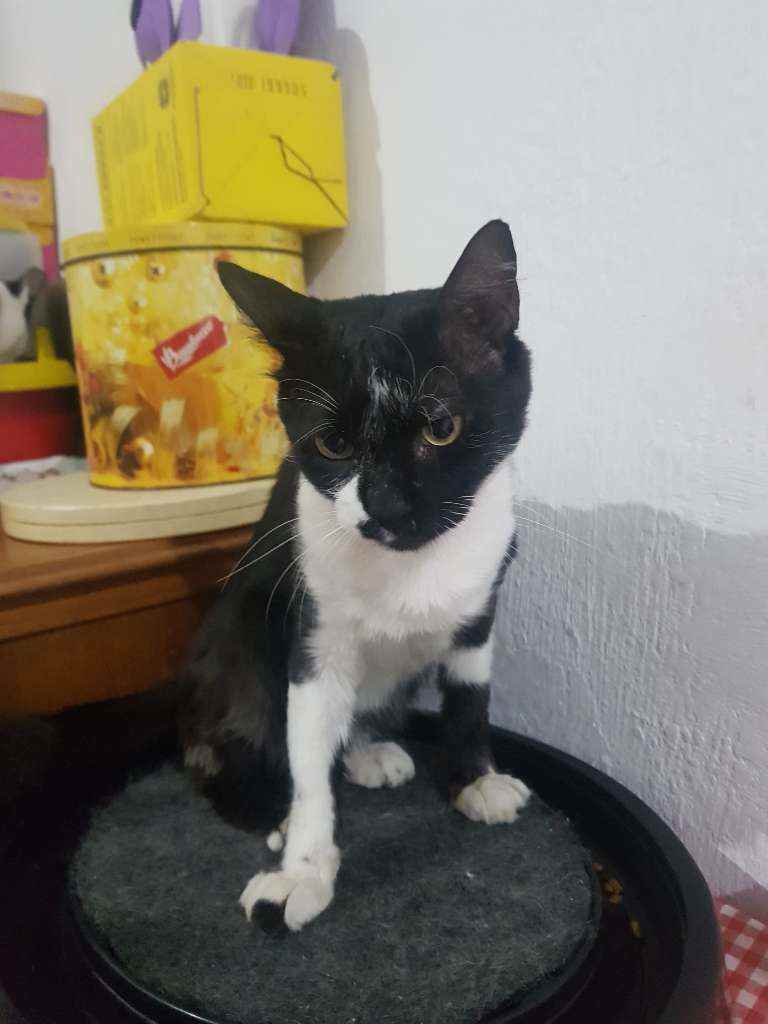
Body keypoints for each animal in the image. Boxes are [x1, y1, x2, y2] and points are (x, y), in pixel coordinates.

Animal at [179, 219, 533, 932]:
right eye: (333, 446)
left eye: (442, 427)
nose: (387, 505)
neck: (412, 564)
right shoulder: (314, 628)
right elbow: (308, 747)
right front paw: (304, 868)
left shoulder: (480, 605)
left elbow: (470, 696)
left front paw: (475, 779)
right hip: (240, 629)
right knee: (232, 732)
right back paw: (269, 808)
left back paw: (368, 747)